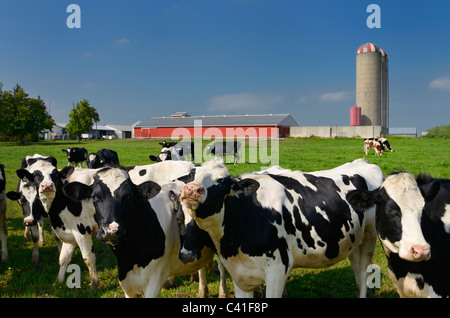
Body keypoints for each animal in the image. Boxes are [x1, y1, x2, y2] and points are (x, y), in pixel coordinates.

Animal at [179, 159, 384, 298]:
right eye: (191, 175)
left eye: (222, 180)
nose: (192, 189)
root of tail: (363, 162)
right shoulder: (240, 275)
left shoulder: (277, 270)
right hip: (353, 242)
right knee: (357, 272)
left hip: (369, 238)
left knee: (364, 272)